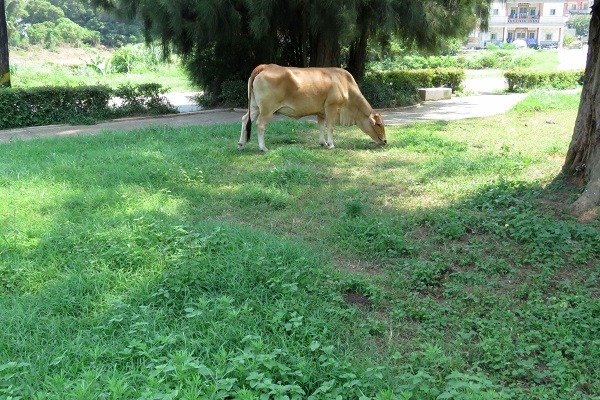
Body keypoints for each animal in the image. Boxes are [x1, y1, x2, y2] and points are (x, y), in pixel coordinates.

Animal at [237, 64, 386, 152]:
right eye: (378, 124)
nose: (385, 141)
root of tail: (266, 66)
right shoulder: (331, 107)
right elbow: (330, 126)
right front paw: (331, 144)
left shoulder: (321, 112)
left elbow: (321, 126)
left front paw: (323, 143)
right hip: (267, 109)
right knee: (260, 124)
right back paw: (263, 147)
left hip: (254, 107)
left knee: (244, 120)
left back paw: (241, 144)